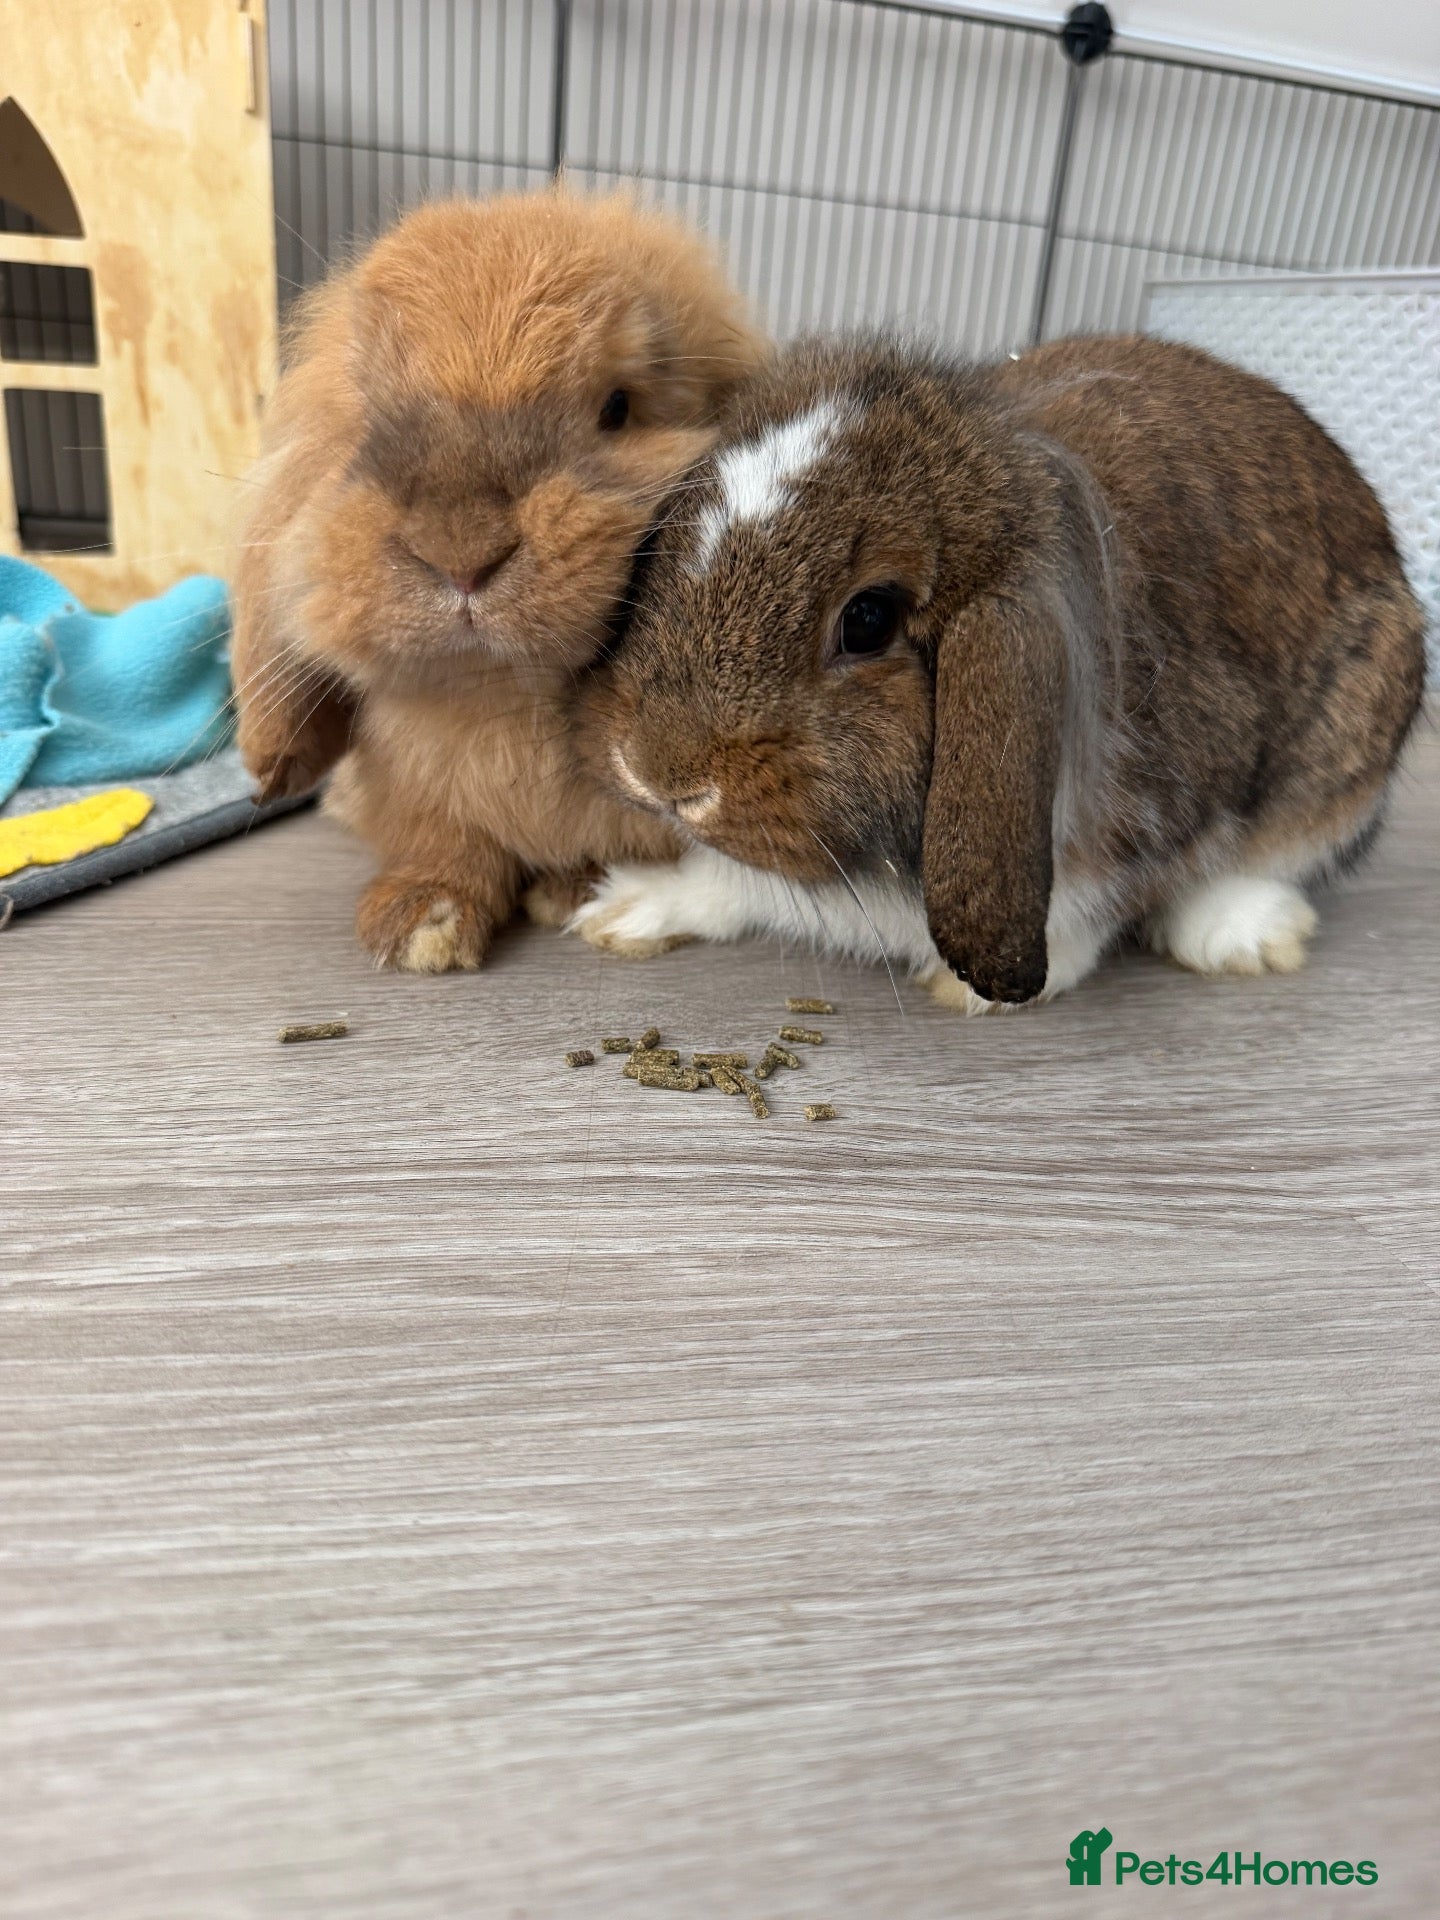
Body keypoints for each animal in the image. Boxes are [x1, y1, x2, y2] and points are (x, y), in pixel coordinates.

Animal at [231, 189, 768, 970]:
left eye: (618, 408)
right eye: (364, 423)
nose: (462, 553)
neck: (498, 690)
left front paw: (580, 891)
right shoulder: (421, 798)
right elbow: (446, 848)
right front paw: (422, 928)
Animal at [567, 333, 1426, 1010]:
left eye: (869, 619)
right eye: (671, 534)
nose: (656, 773)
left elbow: (1100, 907)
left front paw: (976, 992)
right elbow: (728, 880)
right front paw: (622, 912)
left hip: (1349, 749)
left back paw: (1241, 937)